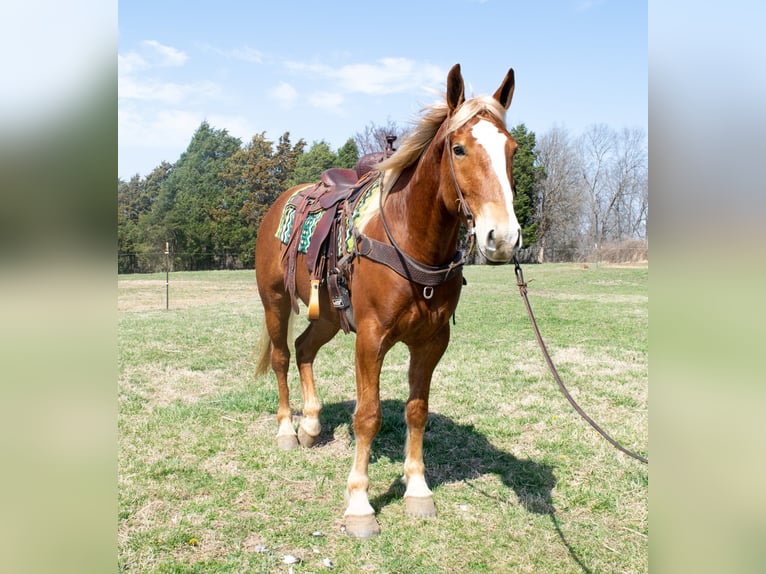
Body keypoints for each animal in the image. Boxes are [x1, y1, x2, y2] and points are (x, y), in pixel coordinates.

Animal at [254, 64, 521, 538]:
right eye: (459, 149)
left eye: (511, 149)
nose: (503, 238)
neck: (411, 240)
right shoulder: (371, 338)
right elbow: (368, 416)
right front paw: (360, 504)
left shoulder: (431, 342)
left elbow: (417, 411)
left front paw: (417, 488)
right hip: (275, 302)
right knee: (283, 356)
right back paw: (287, 429)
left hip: (329, 316)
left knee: (304, 348)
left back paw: (311, 423)